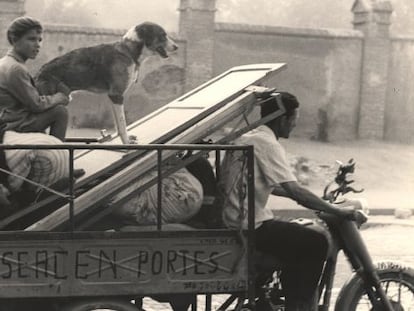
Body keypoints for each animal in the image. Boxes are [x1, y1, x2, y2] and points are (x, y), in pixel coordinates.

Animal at [35, 22, 178, 144]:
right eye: (162, 35)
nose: (177, 47)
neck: (128, 52)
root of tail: (39, 72)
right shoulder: (117, 95)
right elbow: (122, 124)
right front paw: (127, 142)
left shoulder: (112, 97)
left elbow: (118, 126)